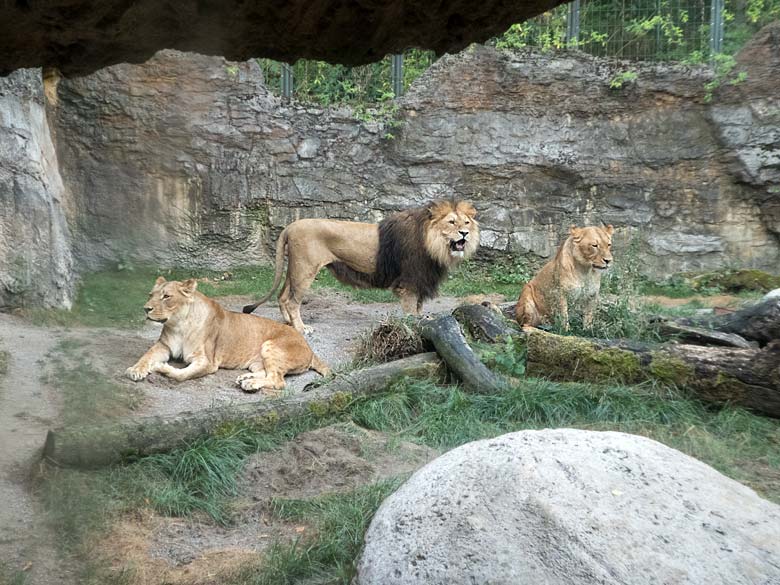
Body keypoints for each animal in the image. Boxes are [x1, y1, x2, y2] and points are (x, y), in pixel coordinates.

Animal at [128, 278, 330, 394]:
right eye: (150, 295)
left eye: (166, 296)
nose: (146, 308)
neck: (179, 325)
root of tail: (310, 348)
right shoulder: (163, 345)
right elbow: (146, 356)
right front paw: (135, 370)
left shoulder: (207, 361)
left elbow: (182, 375)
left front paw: (161, 367)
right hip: (257, 361)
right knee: (267, 373)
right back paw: (245, 378)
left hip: (270, 346)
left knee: (278, 380)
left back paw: (250, 384)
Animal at [244, 198, 478, 330]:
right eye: (451, 222)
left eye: (466, 222)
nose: (465, 233)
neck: (434, 244)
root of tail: (290, 226)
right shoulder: (410, 281)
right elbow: (411, 309)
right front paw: (414, 324)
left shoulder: (421, 280)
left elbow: (419, 308)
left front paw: (423, 321)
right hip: (304, 270)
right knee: (293, 302)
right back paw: (301, 328)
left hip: (294, 269)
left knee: (282, 297)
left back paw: (288, 323)